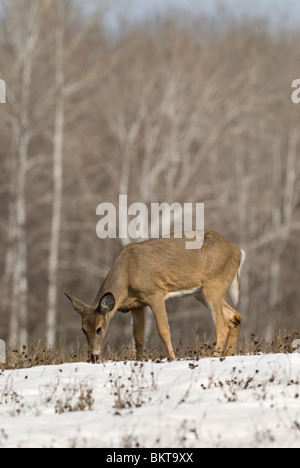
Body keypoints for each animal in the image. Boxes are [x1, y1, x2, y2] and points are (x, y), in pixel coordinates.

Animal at [64, 230, 245, 362]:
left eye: (99, 329)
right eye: (83, 329)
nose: (93, 357)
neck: (127, 274)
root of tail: (239, 251)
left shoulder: (155, 294)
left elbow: (163, 331)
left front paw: (173, 360)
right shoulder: (137, 305)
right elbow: (138, 338)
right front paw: (139, 361)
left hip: (213, 285)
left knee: (222, 325)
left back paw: (214, 357)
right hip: (200, 292)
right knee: (235, 317)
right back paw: (227, 355)